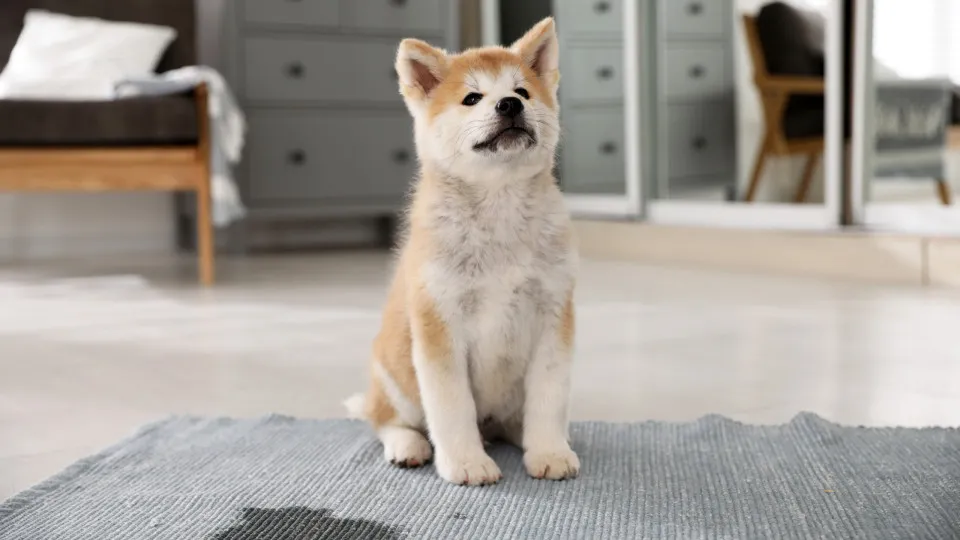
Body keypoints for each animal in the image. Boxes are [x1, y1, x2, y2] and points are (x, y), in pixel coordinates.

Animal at [348, 19, 580, 488]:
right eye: (472, 98)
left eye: (522, 91)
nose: (509, 105)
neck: (498, 211)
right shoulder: (440, 323)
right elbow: (452, 409)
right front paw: (467, 464)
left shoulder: (553, 316)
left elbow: (549, 399)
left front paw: (549, 451)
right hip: (394, 375)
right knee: (386, 421)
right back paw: (408, 446)